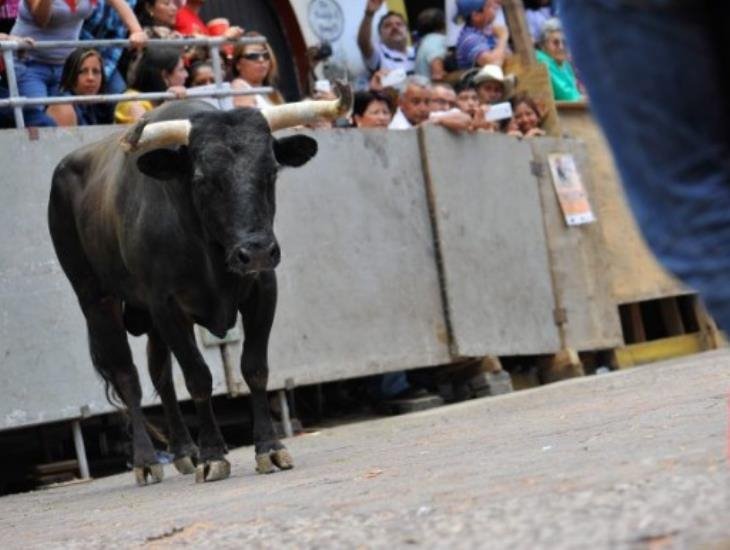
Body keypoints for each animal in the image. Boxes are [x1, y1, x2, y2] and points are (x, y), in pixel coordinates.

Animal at [48, 91, 350, 488]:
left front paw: (269, 448)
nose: (256, 251)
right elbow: (198, 378)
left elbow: (254, 368)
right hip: (96, 299)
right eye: (203, 178)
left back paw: (183, 451)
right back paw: (147, 461)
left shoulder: (262, 290)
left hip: (148, 317)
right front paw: (213, 456)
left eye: (271, 172)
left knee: (160, 375)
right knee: (128, 376)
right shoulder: (167, 305)